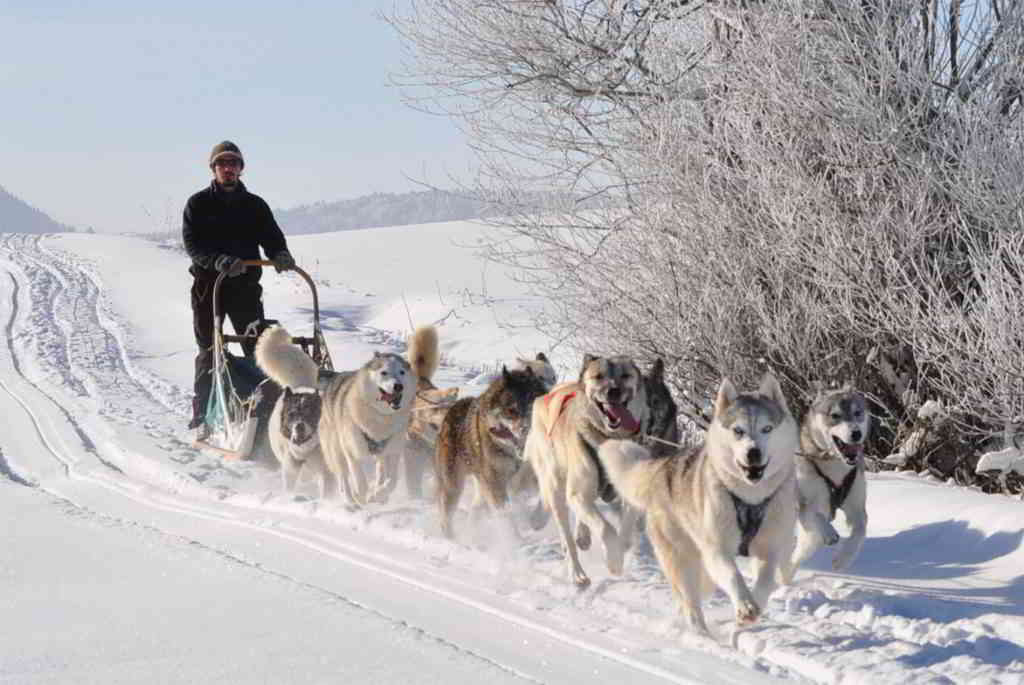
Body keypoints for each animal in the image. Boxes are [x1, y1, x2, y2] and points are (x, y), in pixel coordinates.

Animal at [598, 370, 798, 634]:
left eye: (767, 428)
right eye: (738, 431)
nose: (753, 452)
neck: (750, 496)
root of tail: (663, 467)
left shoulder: (770, 549)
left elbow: (765, 582)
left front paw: (750, 609)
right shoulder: (716, 549)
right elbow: (733, 575)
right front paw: (745, 606)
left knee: (700, 591)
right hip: (682, 557)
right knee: (690, 601)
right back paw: (700, 633)